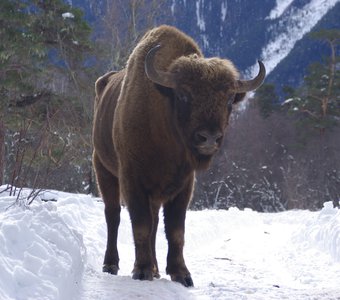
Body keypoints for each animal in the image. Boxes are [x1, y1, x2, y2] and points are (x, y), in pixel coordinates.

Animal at [93, 25, 266, 286]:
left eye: (228, 99)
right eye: (184, 94)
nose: (209, 138)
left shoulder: (183, 185)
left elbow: (175, 230)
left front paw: (181, 274)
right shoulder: (132, 179)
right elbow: (141, 225)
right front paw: (141, 270)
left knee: (154, 223)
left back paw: (155, 269)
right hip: (103, 169)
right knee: (113, 215)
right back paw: (111, 264)